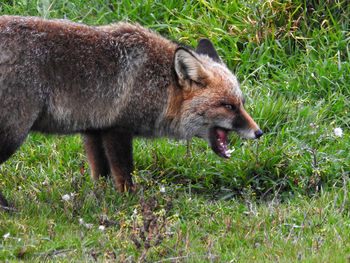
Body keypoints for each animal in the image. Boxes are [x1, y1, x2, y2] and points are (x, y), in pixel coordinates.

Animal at [0, 15, 262, 207]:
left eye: (241, 103)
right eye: (228, 106)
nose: (259, 133)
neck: (158, 84)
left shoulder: (94, 127)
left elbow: (100, 174)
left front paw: (101, 197)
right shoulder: (117, 129)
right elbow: (124, 174)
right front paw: (131, 202)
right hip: (13, 134)